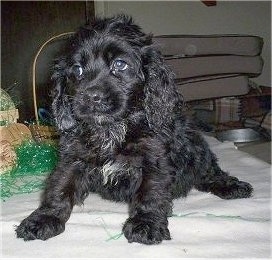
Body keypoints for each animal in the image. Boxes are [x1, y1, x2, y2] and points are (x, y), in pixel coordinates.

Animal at [15, 15, 252, 245]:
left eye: (120, 65)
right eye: (77, 70)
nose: (91, 97)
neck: (111, 130)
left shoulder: (154, 160)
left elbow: (150, 193)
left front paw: (145, 224)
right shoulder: (73, 158)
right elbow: (59, 188)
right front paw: (44, 219)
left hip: (196, 148)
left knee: (210, 170)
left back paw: (232, 186)